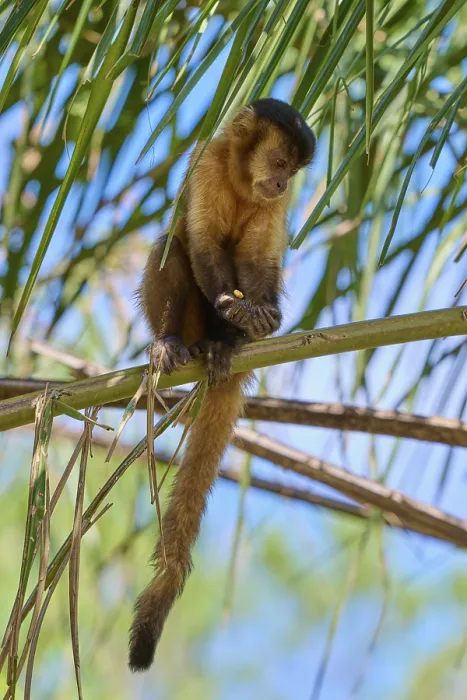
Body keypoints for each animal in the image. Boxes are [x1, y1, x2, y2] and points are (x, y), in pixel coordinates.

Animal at [129, 97, 316, 671]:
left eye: (290, 174)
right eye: (277, 164)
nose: (277, 184)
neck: (240, 177)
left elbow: (257, 261)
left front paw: (252, 319)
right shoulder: (207, 161)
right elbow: (203, 243)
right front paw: (229, 307)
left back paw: (230, 343)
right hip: (188, 323)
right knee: (172, 245)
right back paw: (175, 342)